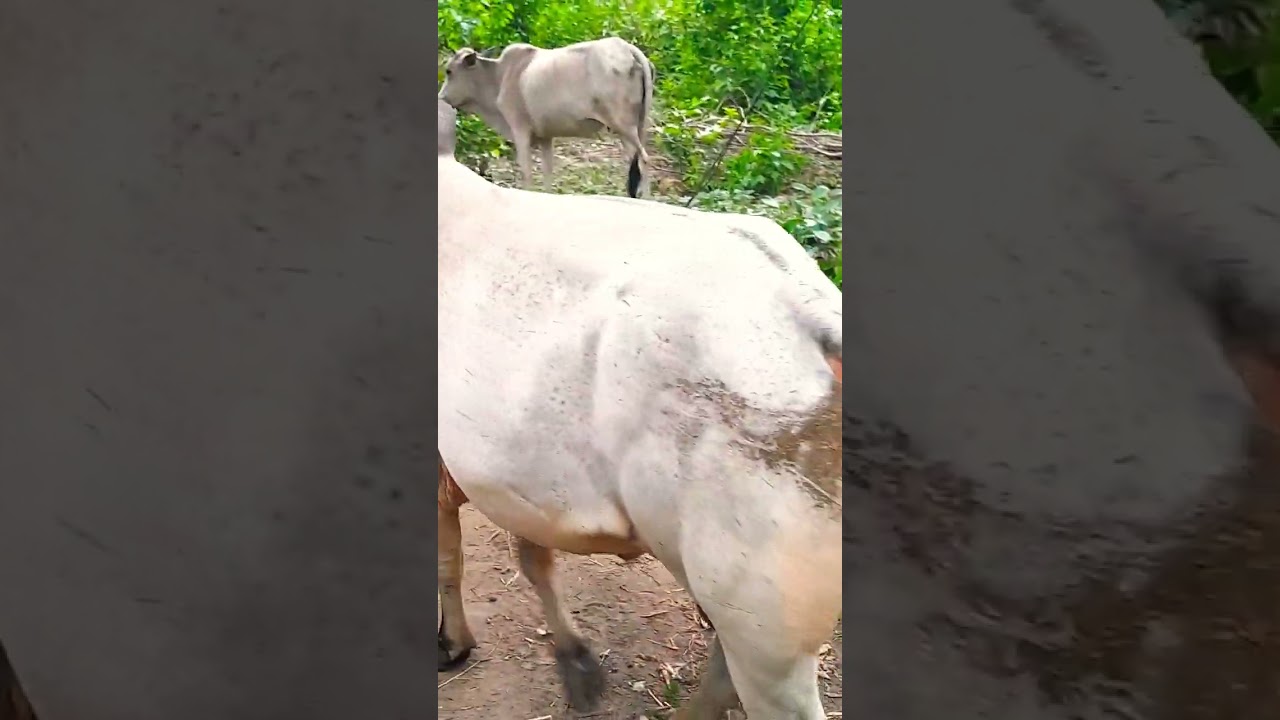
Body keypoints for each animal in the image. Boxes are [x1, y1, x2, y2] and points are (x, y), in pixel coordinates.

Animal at [437, 97, 843, 719]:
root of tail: (808, 308)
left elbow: (450, 552)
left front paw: (453, 641)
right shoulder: (518, 481)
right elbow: (531, 557)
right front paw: (574, 662)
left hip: (763, 639)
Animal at [438, 37, 655, 198]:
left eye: (449, 71)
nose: (441, 97)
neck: (499, 77)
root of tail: (627, 48)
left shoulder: (520, 130)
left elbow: (526, 171)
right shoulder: (545, 137)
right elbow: (548, 172)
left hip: (623, 125)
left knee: (643, 159)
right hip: (636, 127)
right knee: (633, 161)